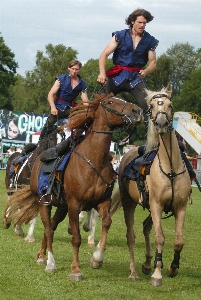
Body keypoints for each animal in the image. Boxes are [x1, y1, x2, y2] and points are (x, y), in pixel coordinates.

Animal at [4, 93, 143, 278]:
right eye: (110, 102)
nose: (136, 110)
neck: (93, 161)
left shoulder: (102, 202)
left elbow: (106, 222)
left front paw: (97, 258)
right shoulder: (75, 205)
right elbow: (76, 238)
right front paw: (76, 270)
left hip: (62, 207)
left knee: (52, 227)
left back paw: (41, 255)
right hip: (44, 203)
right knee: (48, 229)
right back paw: (50, 263)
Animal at [118, 84, 192, 286]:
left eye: (169, 104)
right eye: (151, 106)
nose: (160, 123)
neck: (171, 168)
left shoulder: (180, 207)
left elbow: (178, 241)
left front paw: (172, 268)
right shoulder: (157, 205)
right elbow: (160, 238)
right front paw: (157, 274)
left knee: (145, 226)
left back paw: (147, 263)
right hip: (129, 203)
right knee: (131, 236)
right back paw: (134, 271)